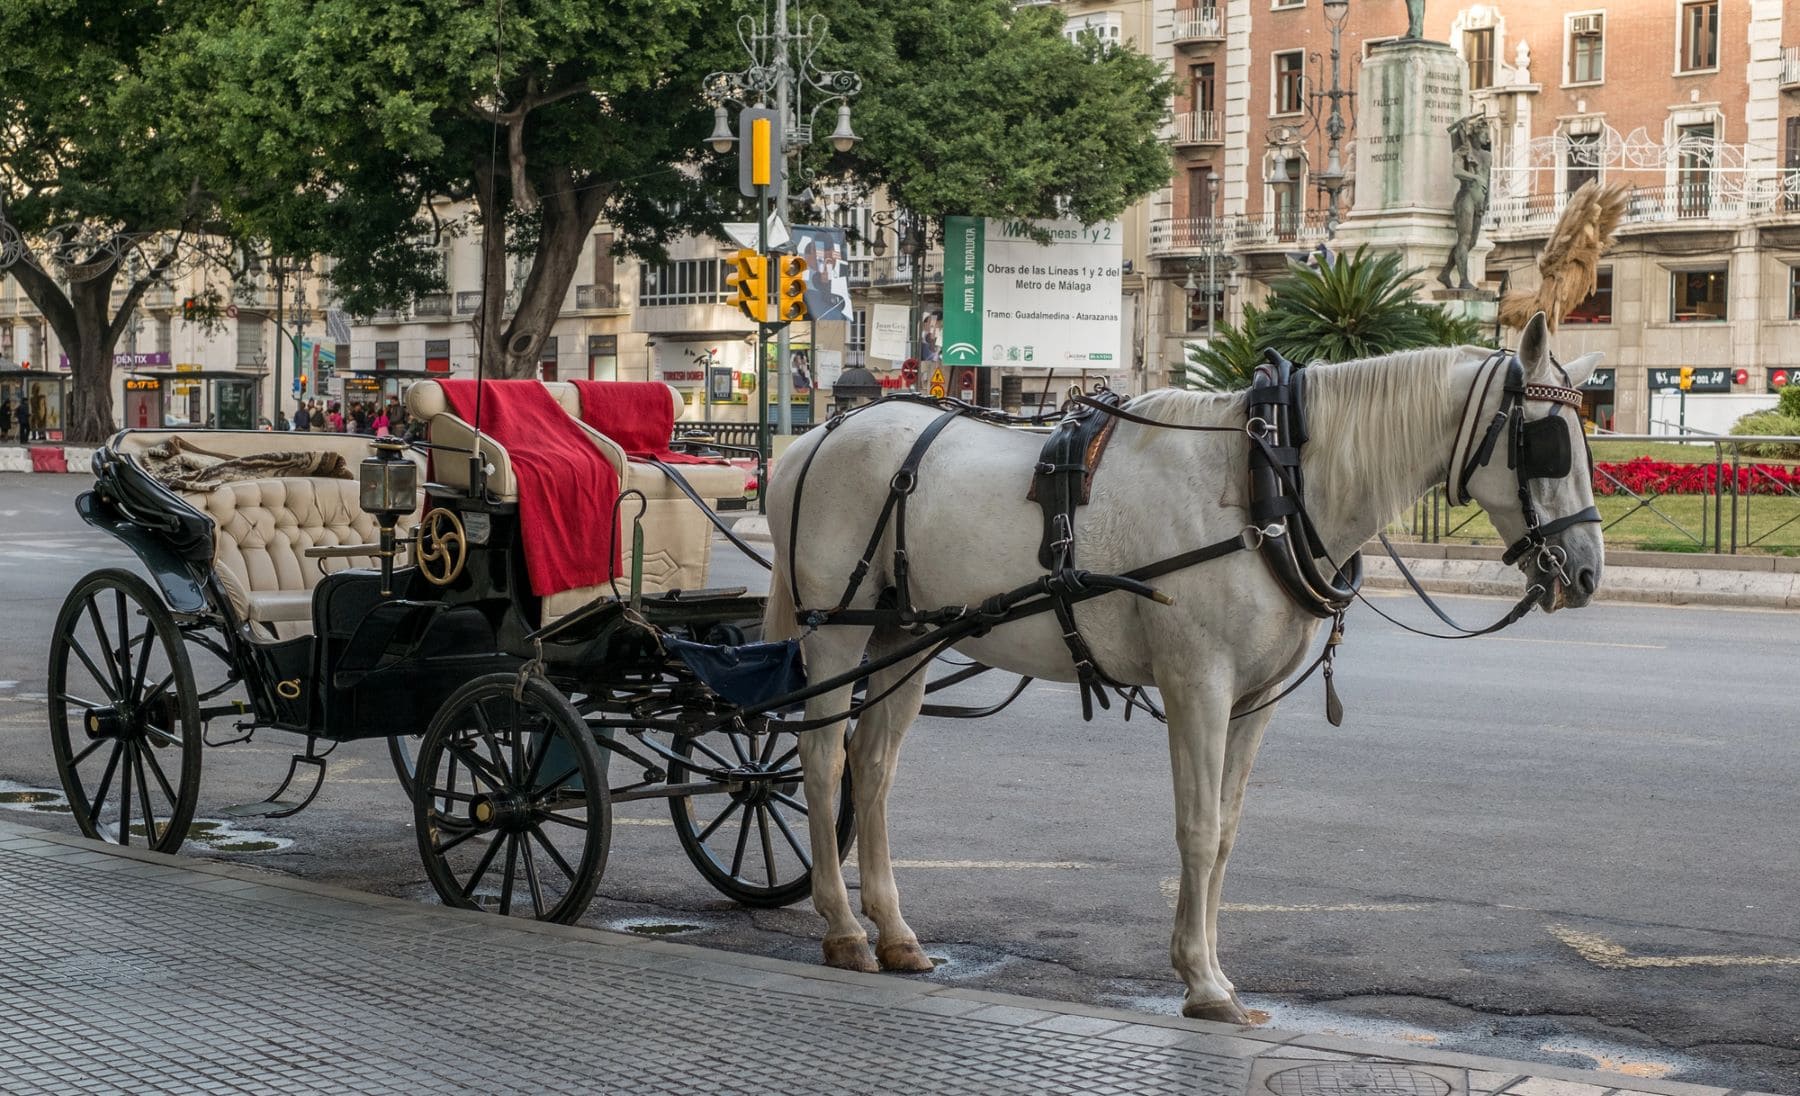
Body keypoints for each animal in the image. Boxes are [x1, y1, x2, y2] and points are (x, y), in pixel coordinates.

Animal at [762, 313, 1604, 1022]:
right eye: (1547, 441)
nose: (1587, 572)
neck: (1268, 486)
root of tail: (812, 440)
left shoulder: (1256, 698)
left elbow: (1226, 830)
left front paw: (1213, 970)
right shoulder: (1198, 683)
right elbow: (1196, 828)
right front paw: (1202, 982)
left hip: (902, 634)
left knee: (873, 766)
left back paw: (895, 932)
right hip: (835, 632)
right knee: (822, 757)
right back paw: (843, 928)